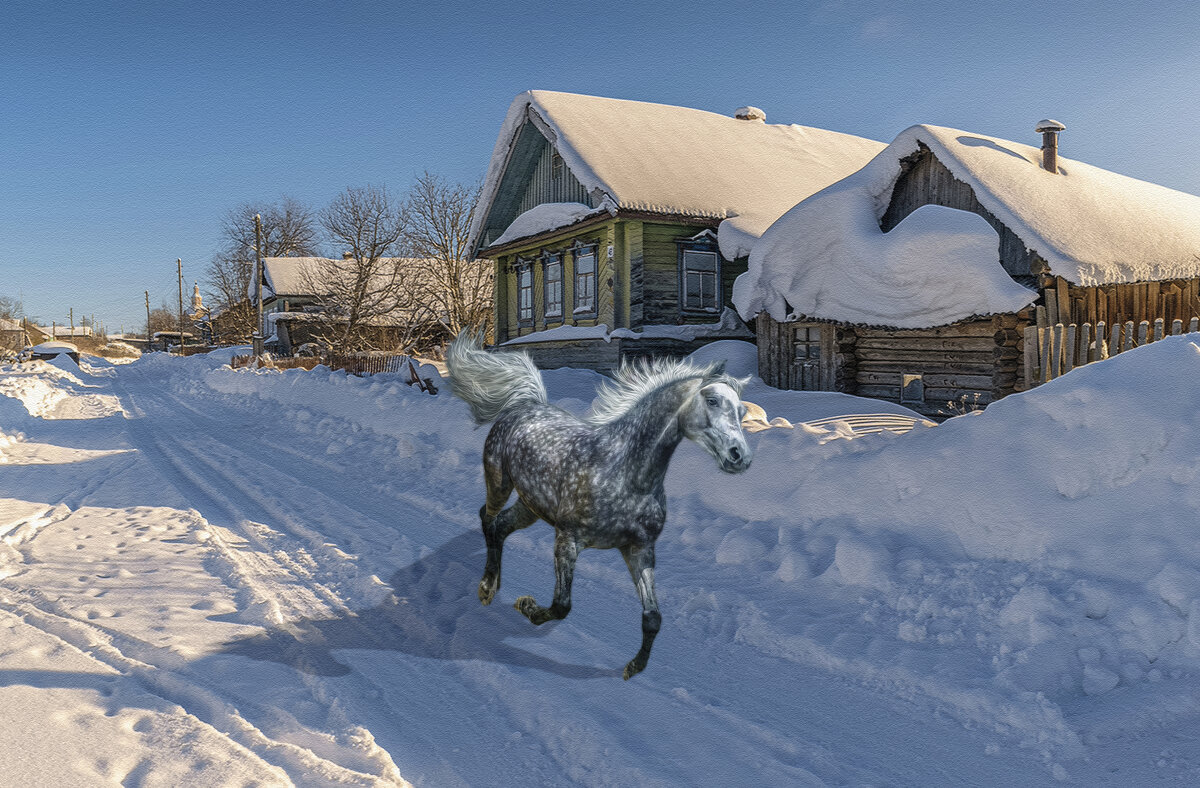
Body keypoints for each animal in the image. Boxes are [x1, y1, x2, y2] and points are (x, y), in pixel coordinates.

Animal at [451, 331, 748, 676]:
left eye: (742, 411)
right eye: (712, 401)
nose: (740, 456)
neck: (624, 473)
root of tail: (527, 405)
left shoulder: (639, 549)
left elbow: (653, 617)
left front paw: (633, 667)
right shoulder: (567, 540)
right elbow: (561, 606)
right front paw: (526, 606)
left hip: (531, 506)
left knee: (499, 526)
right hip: (499, 483)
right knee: (487, 518)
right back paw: (486, 587)